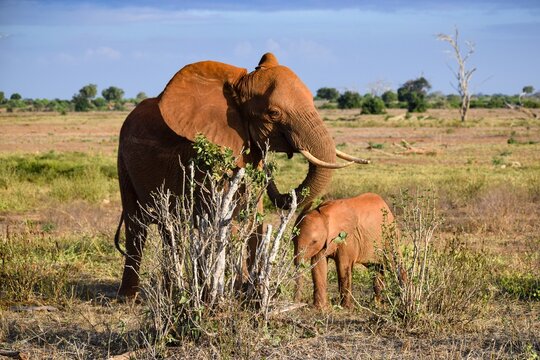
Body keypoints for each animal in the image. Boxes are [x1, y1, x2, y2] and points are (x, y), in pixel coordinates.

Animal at [115, 52, 364, 296]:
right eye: (273, 113)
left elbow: (255, 218)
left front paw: (249, 295)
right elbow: (227, 218)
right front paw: (234, 292)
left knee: (170, 230)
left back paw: (170, 291)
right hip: (123, 162)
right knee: (136, 226)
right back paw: (129, 297)